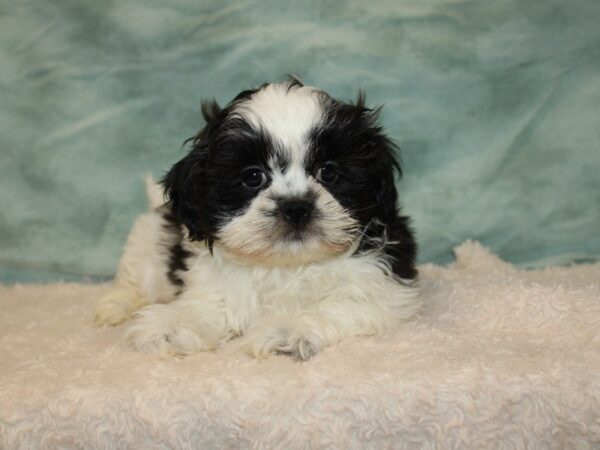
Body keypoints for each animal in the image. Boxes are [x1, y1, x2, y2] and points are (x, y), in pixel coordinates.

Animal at [96, 76, 420, 358]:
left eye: (328, 172)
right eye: (253, 176)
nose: (296, 207)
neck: (287, 265)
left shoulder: (383, 286)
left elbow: (344, 303)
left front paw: (288, 328)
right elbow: (208, 305)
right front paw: (171, 325)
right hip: (148, 243)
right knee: (136, 277)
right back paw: (114, 306)